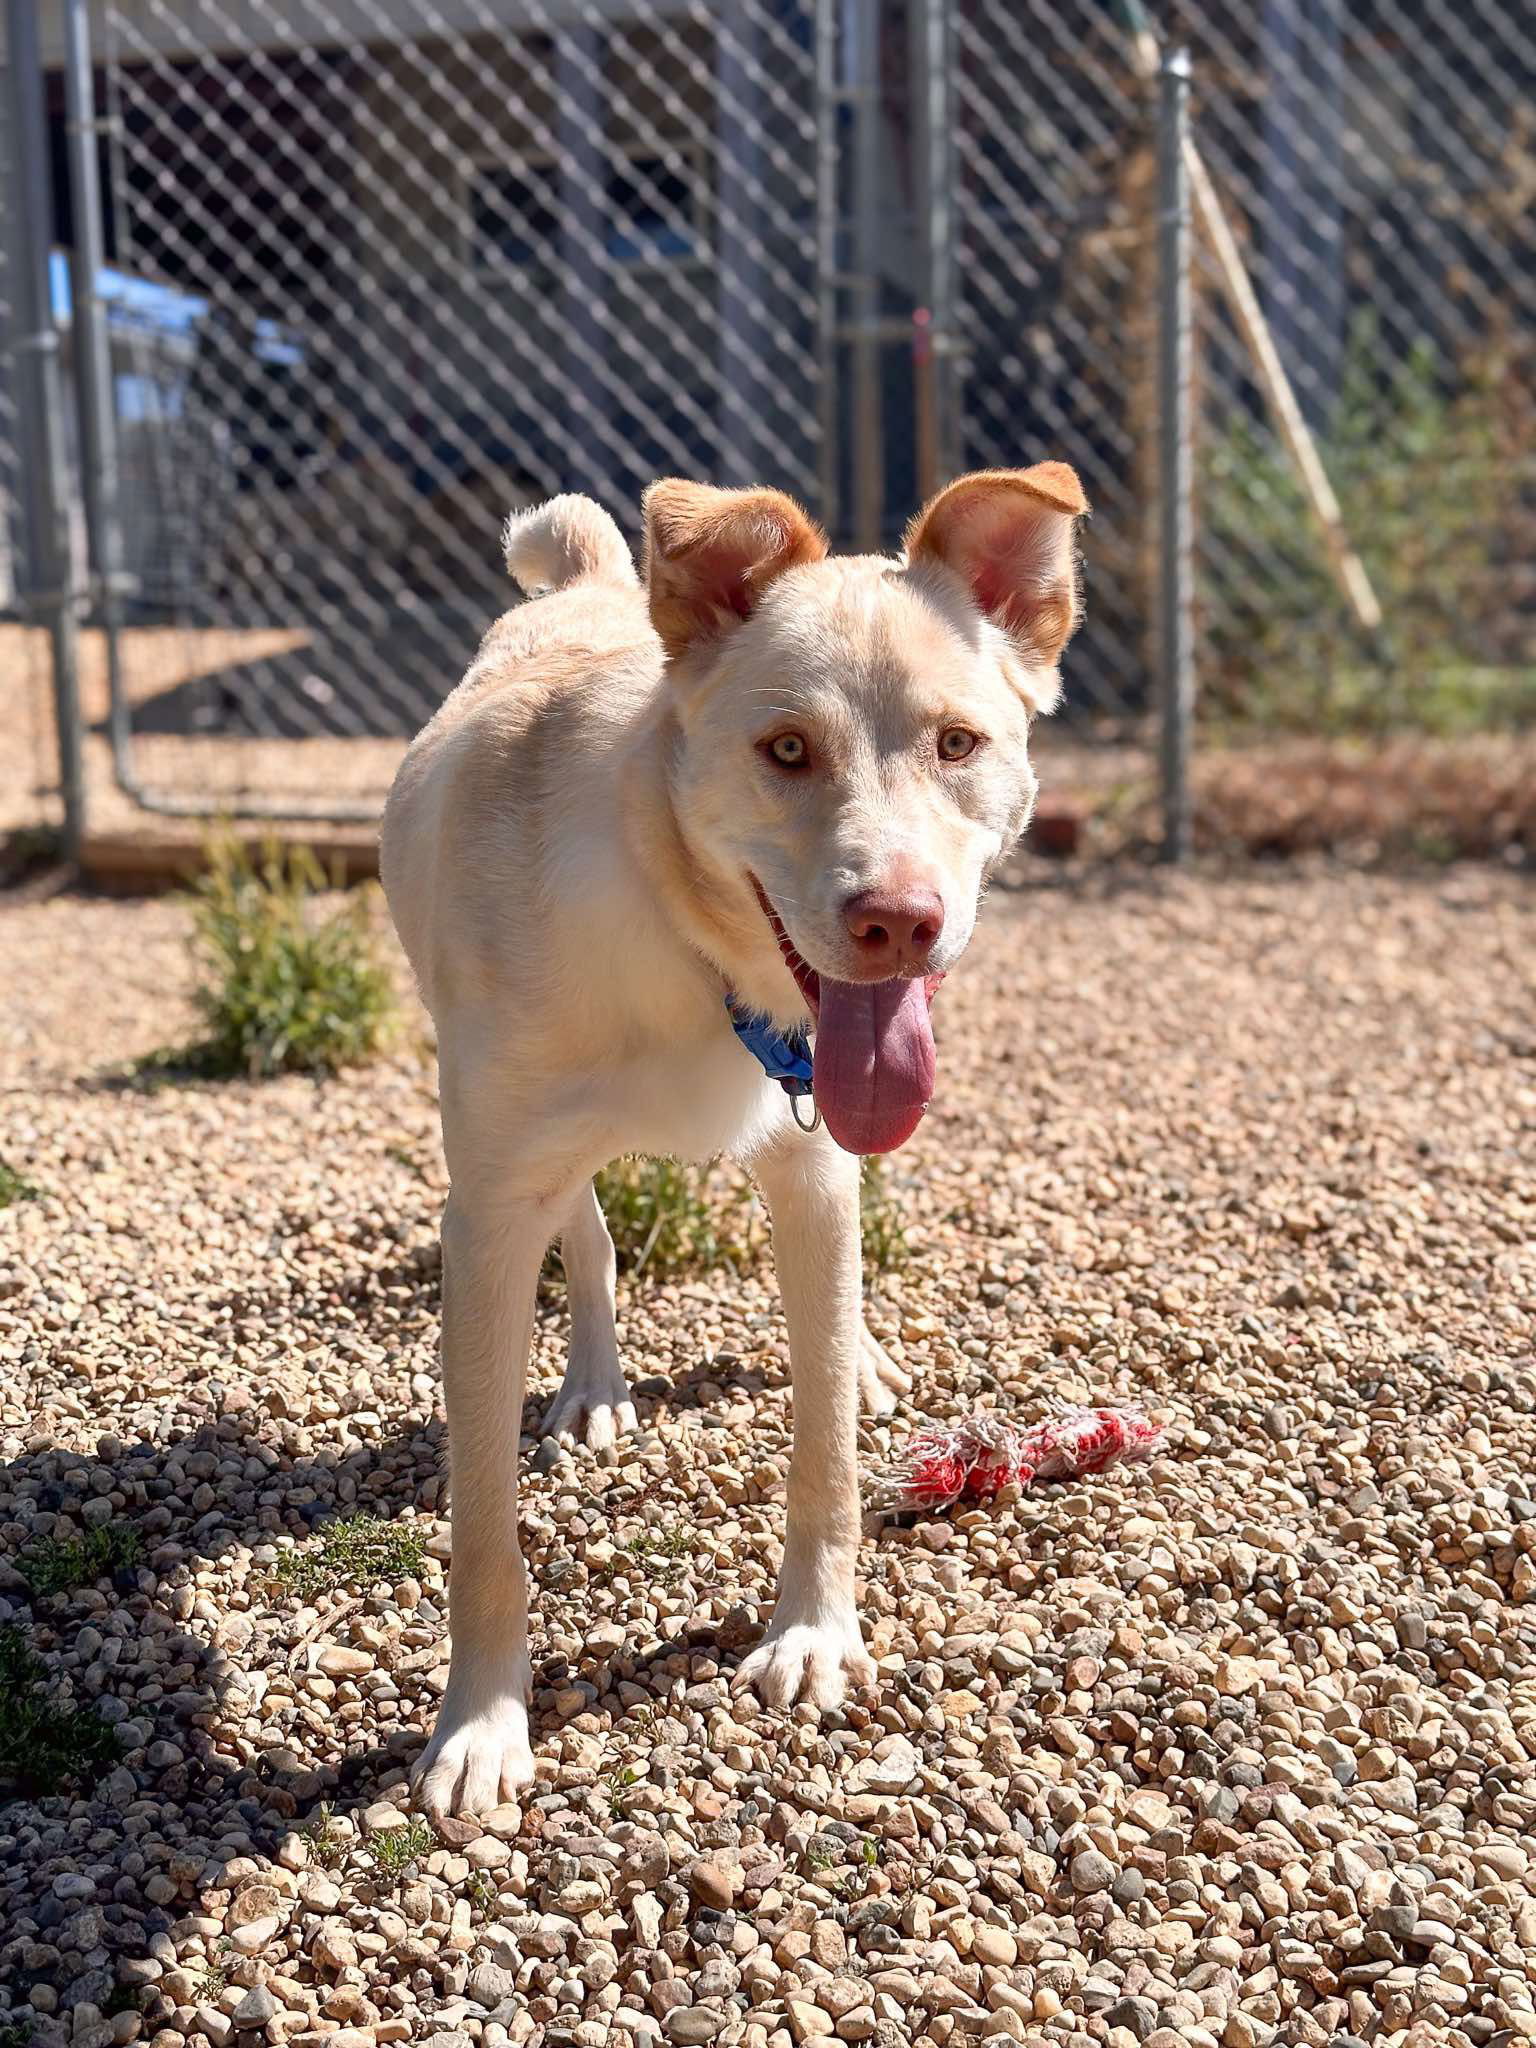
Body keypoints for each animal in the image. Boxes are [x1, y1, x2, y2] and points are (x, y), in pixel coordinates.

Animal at [382, 471, 1081, 1818]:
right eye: (787, 750)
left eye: (958, 743)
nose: (899, 921)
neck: (688, 945)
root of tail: (598, 588)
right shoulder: (490, 1209)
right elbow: (484, 1529)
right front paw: (482, 1723)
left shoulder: (813, 1166)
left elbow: (825, 1451)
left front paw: (812, 1631)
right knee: (595, 1243)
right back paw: (596, 1388)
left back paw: (859, 1356)